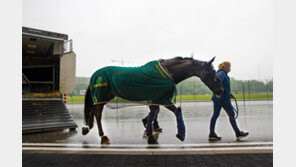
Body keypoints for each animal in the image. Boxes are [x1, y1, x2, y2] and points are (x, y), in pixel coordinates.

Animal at [81, 56, 222, 144]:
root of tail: (94, 75)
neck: (168, 72)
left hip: (101, 98)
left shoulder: (156, 100)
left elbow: (153, 114)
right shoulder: (163, 99)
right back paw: (103, 137)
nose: (221, 89)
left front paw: (150, 134)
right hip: (101, 97)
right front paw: (181, 134)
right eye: (211, 71)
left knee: (93, 112)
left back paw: (87, 128)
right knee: (97, 114)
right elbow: (177, 111)